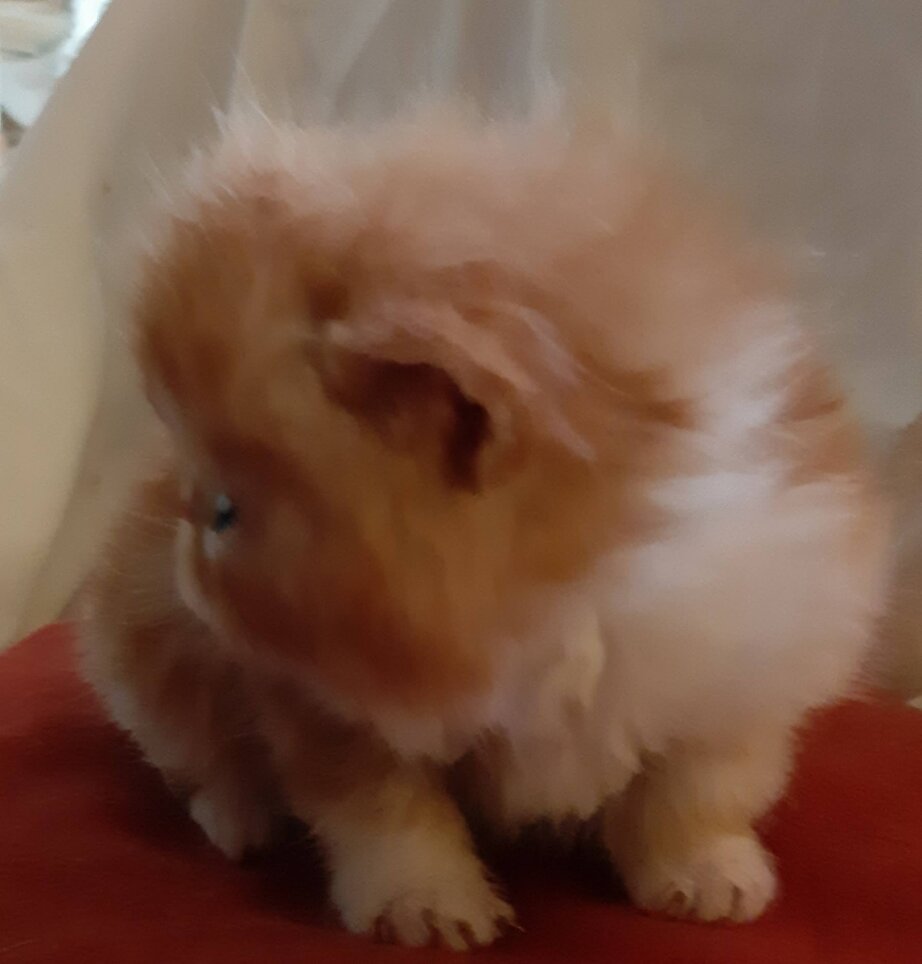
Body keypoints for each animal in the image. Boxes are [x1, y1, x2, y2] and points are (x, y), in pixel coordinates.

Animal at [79, 109, 888, 950]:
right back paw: (243, 821)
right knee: (194, 760)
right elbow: (389, 814)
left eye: (226, 514)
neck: (562, 596)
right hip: (146, 662)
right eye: (202, 495)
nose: (184, 544)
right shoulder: (322, 703)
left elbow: (694, 796)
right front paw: (427, 907)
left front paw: (707, 878)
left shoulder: (742, 679)